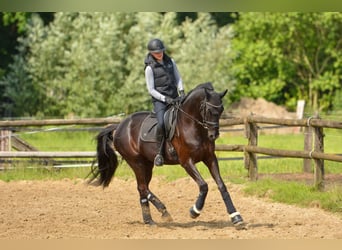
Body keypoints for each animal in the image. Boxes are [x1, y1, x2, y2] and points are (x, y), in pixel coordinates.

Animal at [87, 81, 244, 229]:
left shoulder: (210, 158)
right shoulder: (186, 161)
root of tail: (119, 126)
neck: (192, 125)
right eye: (209, 110)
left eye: (221, 109)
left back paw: (152, 218)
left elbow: (222, 185)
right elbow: (204, 185)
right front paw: (194, 211)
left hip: (147, 164)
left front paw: (236, 217)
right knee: (142, 187)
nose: (213, 135)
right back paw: (161, 214)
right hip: (136, 162)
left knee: (142, 188)